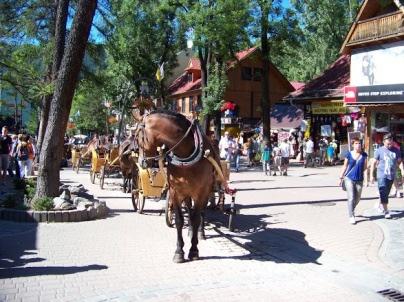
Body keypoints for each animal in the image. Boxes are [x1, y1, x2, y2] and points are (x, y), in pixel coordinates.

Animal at [136, 109, 224, 264]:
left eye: (138, 137)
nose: (142, 162)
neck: (185, 154)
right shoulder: (175, 191)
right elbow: (179, 220)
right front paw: (179, 252)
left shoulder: (201, 193)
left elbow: (196, 218)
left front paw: (194, 250)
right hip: (186, 192)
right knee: (189, 209)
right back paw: (190, 231)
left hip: (207, 191)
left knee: (200, 213)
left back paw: (200, 233)